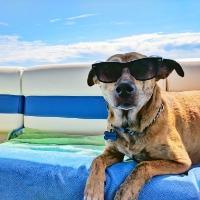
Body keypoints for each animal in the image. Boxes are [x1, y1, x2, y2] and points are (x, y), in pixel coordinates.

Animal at [83, 52, 200, 200]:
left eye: (144, 68)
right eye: (108, 71)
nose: (124, 88)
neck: (130, 128)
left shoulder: (182, 161)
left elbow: (143, 165)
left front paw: (125, 192)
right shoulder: (113, 153)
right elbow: (97, 160)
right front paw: (93, 191)